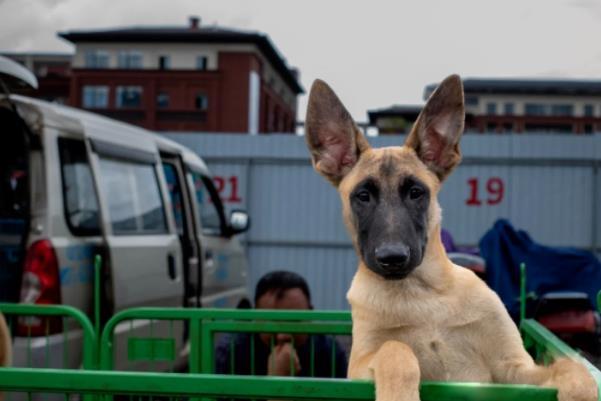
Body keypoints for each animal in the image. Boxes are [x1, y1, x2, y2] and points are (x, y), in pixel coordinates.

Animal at [304, 75, 596, 400]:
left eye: (416, 192)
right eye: (363, 196)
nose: (392, 258)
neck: (422, 294)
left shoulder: (515, 368)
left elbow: (570, 366)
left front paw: (581, 389)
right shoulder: (358, 365)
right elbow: (395, 348)